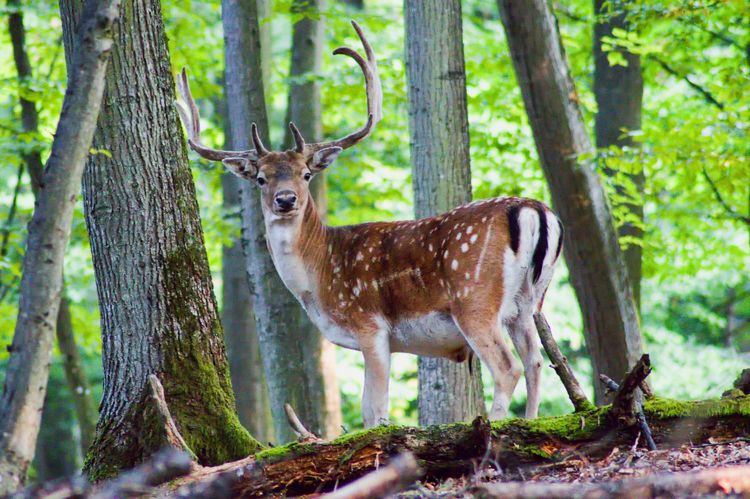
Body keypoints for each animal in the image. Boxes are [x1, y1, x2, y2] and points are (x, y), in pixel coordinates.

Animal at [176, 18, 564, 426]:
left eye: (305, 174)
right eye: (262, 178)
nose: (286, 200)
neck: (319, 278)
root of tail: (535, 211)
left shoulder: (370, 324)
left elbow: (374, 409)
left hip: (475, 297)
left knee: (508, 367)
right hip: (529, 302)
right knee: (536, 362)